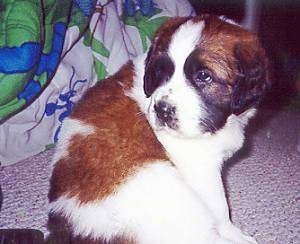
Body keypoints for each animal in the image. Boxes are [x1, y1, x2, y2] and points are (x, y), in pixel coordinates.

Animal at [47, 15, 270, 244]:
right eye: (161, 72)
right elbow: (220, 207)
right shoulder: (202, 170)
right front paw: (233, 231)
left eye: (204, 76)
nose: (162, 110)